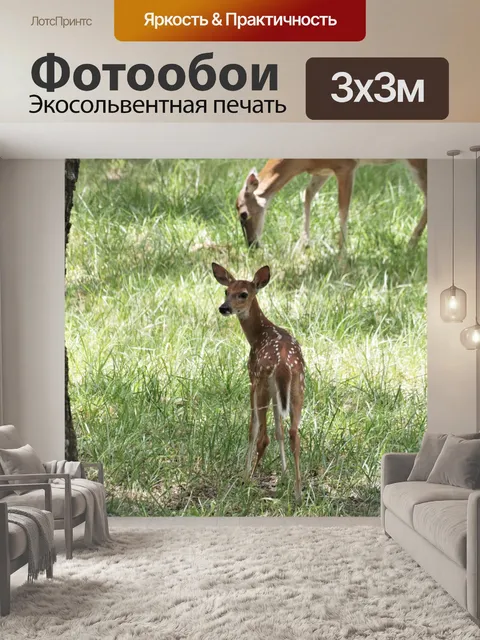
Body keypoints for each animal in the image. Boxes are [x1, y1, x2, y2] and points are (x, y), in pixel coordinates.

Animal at [212, 262, 305, 502]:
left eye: (243, 294)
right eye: (226, 291)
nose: (224, 308)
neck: (258, 333)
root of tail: (283, 364)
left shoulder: (252, 378)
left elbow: (252, 429)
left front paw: (246, 473)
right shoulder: (277, 391)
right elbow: (279, 429)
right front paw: (284, 473)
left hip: (263, 384)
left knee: (263, 437)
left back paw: (248, 478)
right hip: (298, 387)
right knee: (293, 433)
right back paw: (298, 492)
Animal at [235, 159, 427, 249]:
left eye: (244, 214)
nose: (252, 245)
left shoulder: (346, 166)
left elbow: (343, 211)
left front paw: (342, 261)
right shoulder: (323, 170)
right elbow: (307, 194)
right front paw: (304, 244)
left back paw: (411, 245)